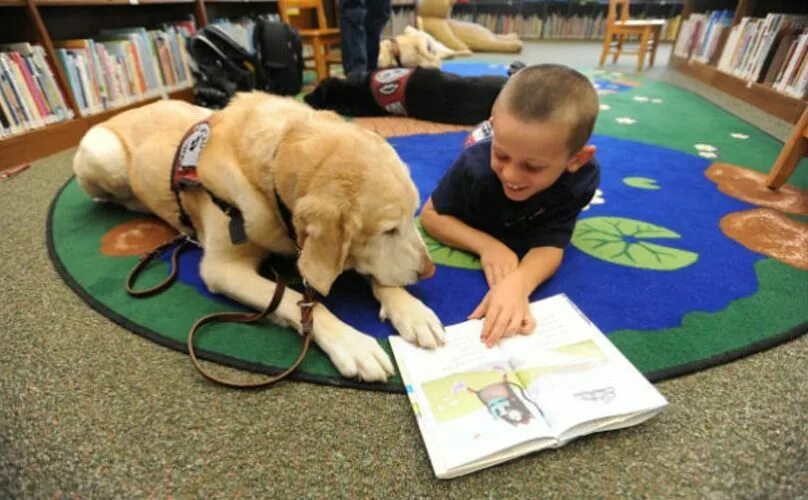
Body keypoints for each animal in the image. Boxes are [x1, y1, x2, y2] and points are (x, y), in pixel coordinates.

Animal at [72, 91, 446, 378]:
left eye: (412, 216)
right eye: (388, 230)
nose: (429, 271)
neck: (275, 160)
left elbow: (375, 272)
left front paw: (410, 310)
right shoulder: (222, 269)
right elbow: (297, 301)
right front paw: (351, 343)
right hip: (102, 155)